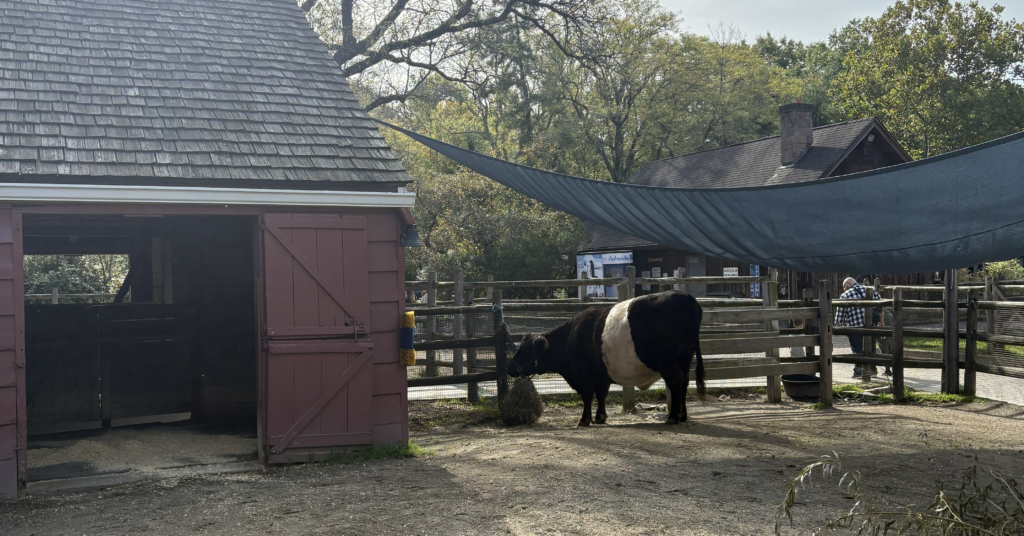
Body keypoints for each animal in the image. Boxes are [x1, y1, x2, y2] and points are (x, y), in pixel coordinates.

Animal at [507, 290, 705, 426]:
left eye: (525, 351)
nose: (510, 368)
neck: (570, 340)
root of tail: (685, 296)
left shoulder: (584, 378)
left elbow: (587, 396)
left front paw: (584, 420)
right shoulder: (601, 376)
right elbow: (601, 394)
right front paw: (600, 417)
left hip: (668, 364)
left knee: (676, 382)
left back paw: (673, 417)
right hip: (685, 360)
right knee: (685, 382)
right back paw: (683, 415)